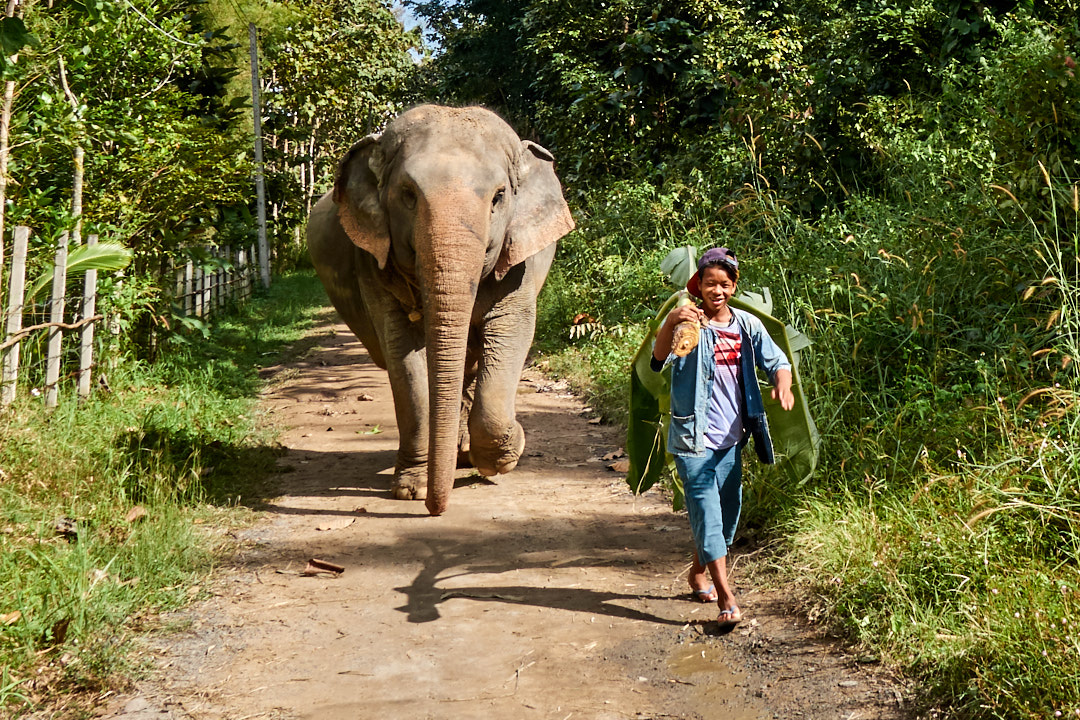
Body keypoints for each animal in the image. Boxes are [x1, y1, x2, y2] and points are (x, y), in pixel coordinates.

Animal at [306, 105, 575, 516]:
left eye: (499, 197)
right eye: (407, 194)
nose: (436, 509)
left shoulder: (519, 262)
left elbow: (512, 329)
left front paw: (505, 455)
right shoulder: (371, 261)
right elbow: (403, 356)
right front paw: (411, 489)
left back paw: (464, 456)